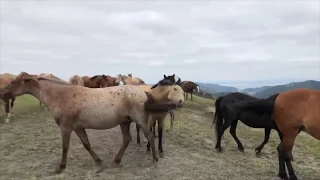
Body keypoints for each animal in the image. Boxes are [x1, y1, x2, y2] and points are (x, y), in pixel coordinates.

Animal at [6, 72, 182, 174]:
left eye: (14, 82)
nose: (3, 93)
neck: (62, 95)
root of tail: (144, 93)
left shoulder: (66, 127)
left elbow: (65, 147)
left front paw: (60, 167)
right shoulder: (78, 127)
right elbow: (87, 144)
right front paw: (99, 163)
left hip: (141, 121)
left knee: (150, 137)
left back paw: (155, 160)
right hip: (124, 122)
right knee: (127, 139)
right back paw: (116, 161)